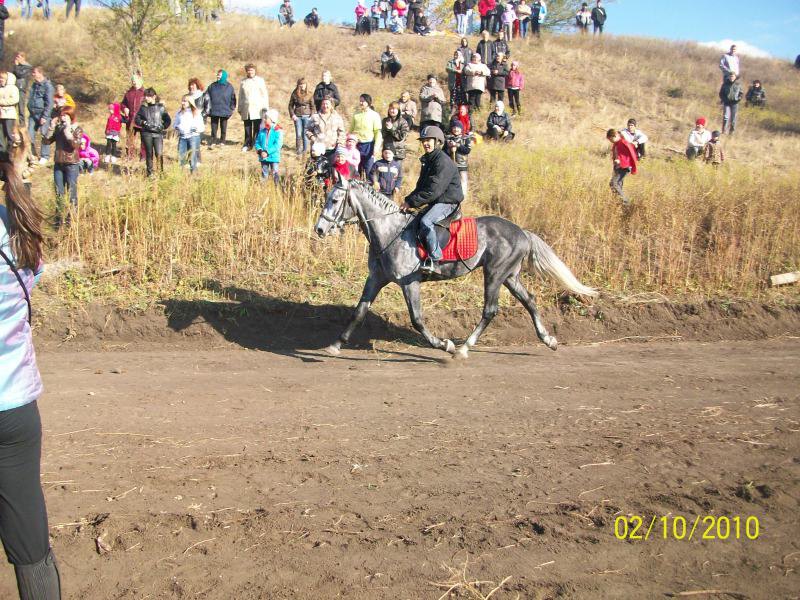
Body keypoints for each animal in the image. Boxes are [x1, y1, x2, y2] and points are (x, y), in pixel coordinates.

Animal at [316, 177, 596, 356]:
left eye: (335, 200)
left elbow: (417, 319)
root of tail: (522, 232)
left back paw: (463, 348)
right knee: (530, 300)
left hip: (494, 274)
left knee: (490, 310)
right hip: (509, 276)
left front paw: (444, 344)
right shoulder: (376, 279)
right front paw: (335, 345)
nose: (319, 229)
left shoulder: (409, 283)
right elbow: (358, 312)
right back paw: (548, 340)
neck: (390, 232)